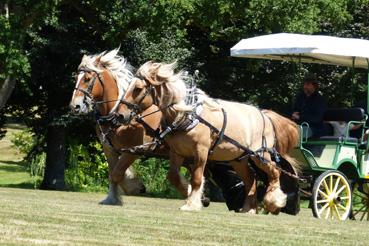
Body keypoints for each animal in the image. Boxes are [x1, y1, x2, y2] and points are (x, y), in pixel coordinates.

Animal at [69, 49, 162, 205]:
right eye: (76, 77)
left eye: (87, 78)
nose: (75, 106)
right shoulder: (109, 149)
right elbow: (113, 174)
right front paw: (112, 198)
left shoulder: (133, 151)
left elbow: (118, 173)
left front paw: (133, 187)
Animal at [118, 61, 300, 213]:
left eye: (138, 88)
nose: (120, 115)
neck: (186, 114)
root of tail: (264, 114)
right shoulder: (177, 152)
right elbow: (173, 177)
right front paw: (191, 193)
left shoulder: (201, 151)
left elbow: (197, 178)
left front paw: (192, 203)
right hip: (238, 159)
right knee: (251, 179)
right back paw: (248, 208)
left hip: (260, 155)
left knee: (274, 172)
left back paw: (274, 202)